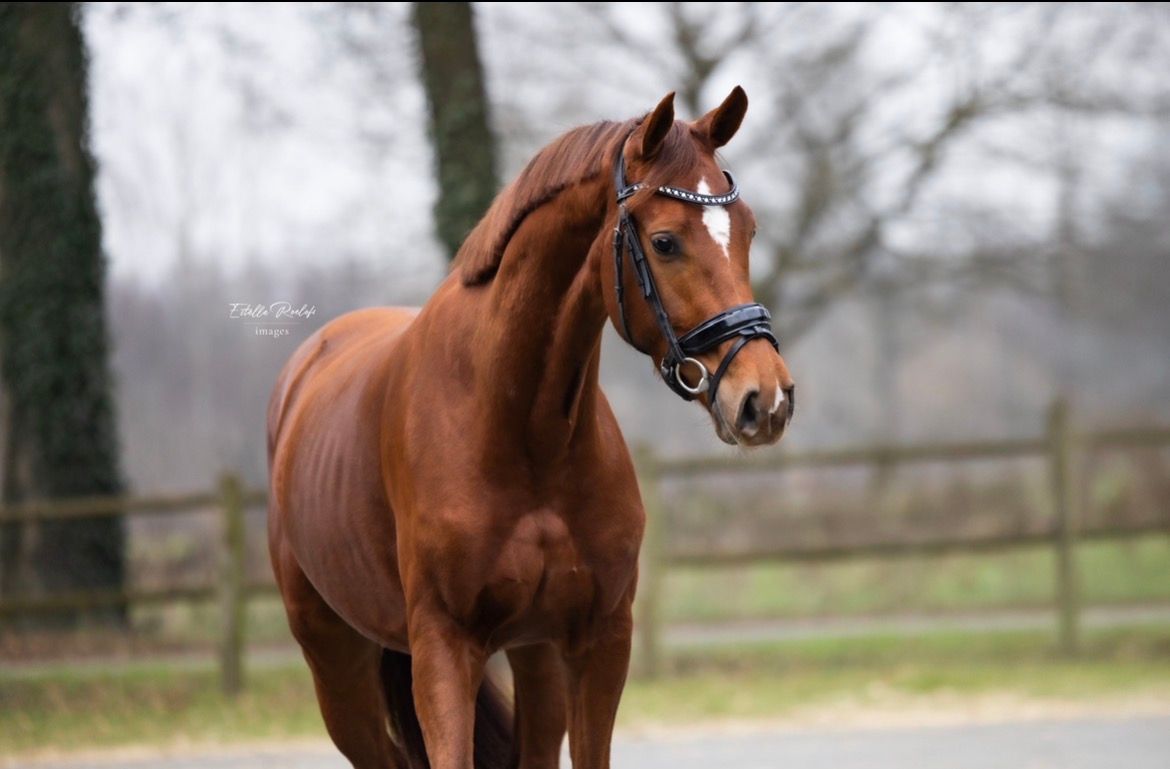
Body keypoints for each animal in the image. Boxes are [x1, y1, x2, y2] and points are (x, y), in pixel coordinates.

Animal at [267, 86, 795, 769]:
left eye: (749, 230)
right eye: (665, 241)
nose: (765, 398)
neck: (524, 433)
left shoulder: (598, 640)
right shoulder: (443, 650)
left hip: (533, 656)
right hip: (337, 667)